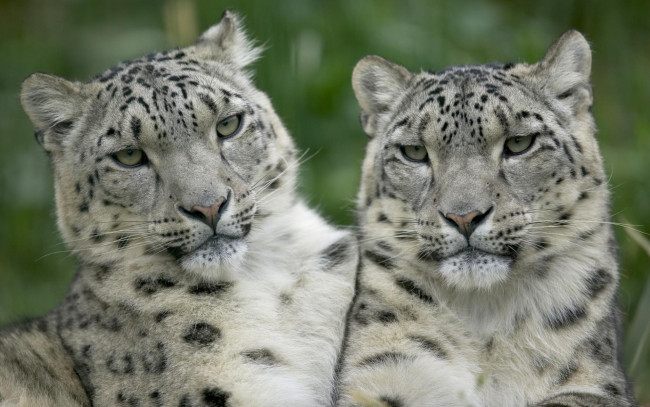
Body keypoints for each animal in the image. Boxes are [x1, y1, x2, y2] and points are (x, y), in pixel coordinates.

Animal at [336, 31, 638, 407]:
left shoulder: (594, 385)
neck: (483, 319)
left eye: (519, 142)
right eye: (414, 151)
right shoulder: (381, 373)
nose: (464, 216)